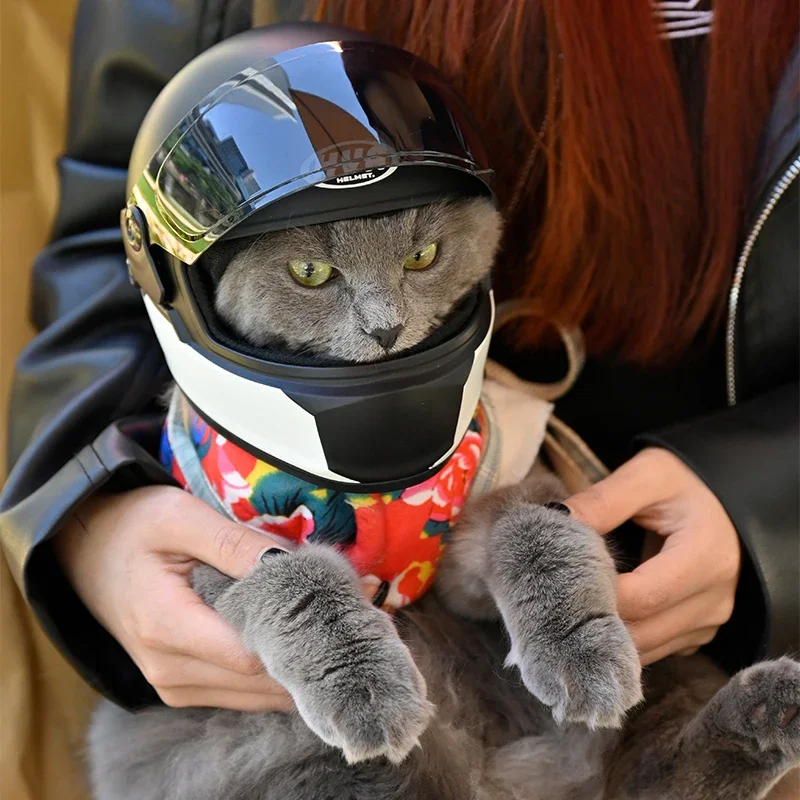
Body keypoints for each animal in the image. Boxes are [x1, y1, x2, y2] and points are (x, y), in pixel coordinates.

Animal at [87, 197, 800, 796]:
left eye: (422, 257)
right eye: (310, 272)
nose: (386, 329)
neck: (374, 488)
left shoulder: (476, 535)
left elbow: (532, 532)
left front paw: (582, 653)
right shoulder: (215, 552)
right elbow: (294, 583)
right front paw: (366, 689)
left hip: (674, 664)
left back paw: (775, 706)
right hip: (273, 749)